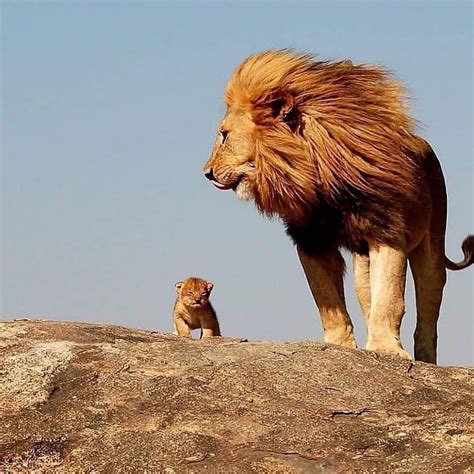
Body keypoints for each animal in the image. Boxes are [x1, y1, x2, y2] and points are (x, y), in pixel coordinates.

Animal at [204, 50, 474, 362]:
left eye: (224, 135)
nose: (207, 172)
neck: (316, 175)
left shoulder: (387, 231)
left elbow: (390, 298)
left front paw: (386, 349)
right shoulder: (311, 240)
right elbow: (327, 301)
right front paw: (340, 345)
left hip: (431, 247)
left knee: (427, 311)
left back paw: (425, 359)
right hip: (361, 264)